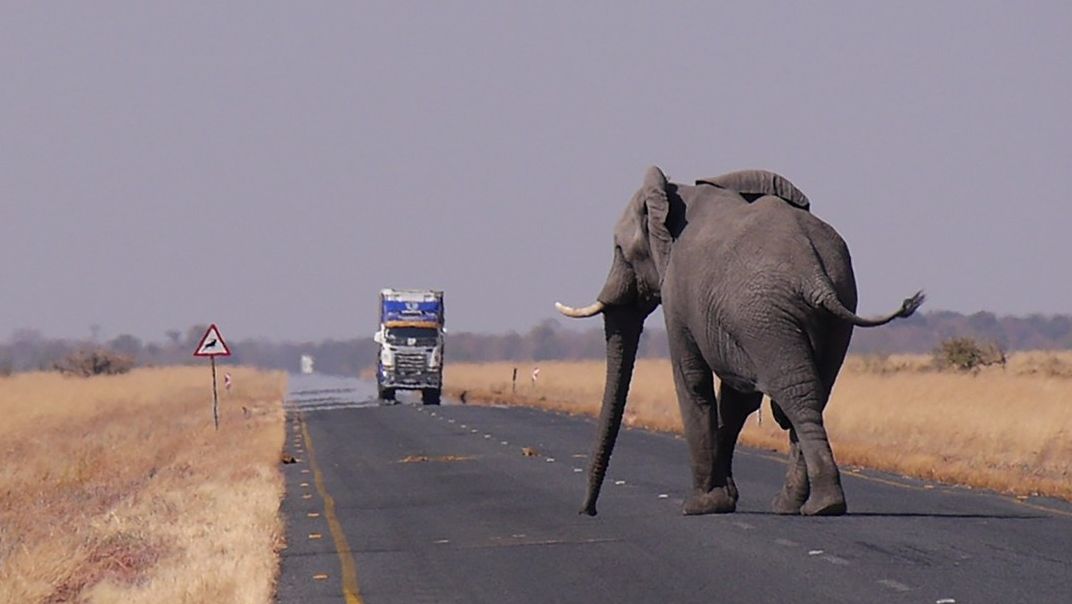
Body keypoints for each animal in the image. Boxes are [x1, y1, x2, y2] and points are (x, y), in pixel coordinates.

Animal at [556, 167, 923, 517]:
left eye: (620, 250)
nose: (588, 510)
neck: (674, 194)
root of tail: (815, 275)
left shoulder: (678, 293)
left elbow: (693, 382)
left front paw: (700, 506)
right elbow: (736, 401)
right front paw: (723, 498)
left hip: (764, 315)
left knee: (793, 395)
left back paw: (818, 505)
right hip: (828, 305)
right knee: (811, 394)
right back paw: (798, 505)